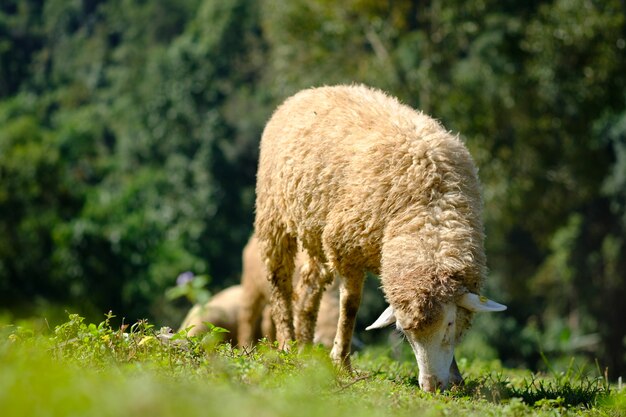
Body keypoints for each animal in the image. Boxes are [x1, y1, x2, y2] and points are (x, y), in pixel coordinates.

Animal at [251, 83, 504, 390]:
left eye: (449, 325)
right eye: (406, 335)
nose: (431, 386)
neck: (429, 206)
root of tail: (311, 91)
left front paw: (455, 376)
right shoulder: (345, 246)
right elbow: (350, 307)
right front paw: (342, 363)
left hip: (314, 234)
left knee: (310, 286)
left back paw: (305, 346)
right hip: (273, 216)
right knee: (280, 283)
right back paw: (287, 343)